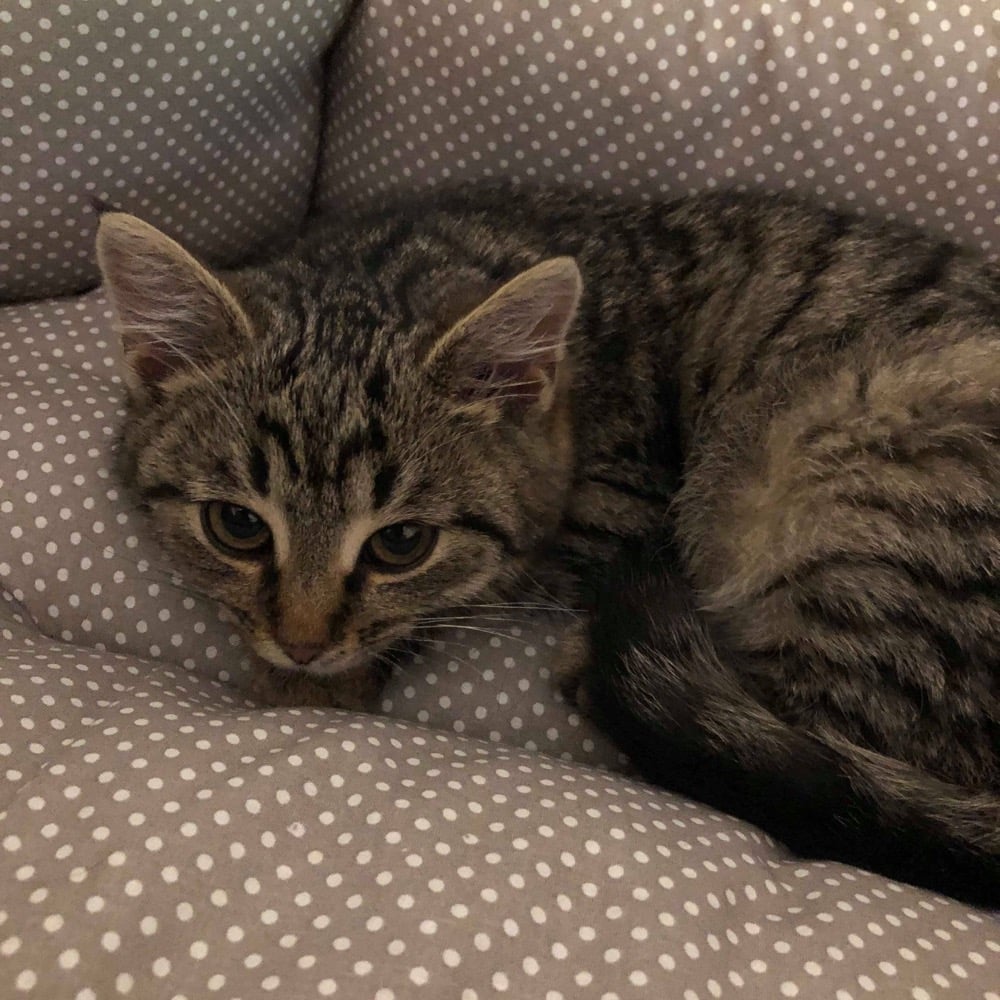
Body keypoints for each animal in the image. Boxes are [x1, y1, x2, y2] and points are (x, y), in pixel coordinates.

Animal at [95, 182, 1000, 906]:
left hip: (855, 492)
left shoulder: (617, 511)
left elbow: (460, 597)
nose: (302, 645)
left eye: (402, 544)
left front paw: (319, 683)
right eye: (238, 526)